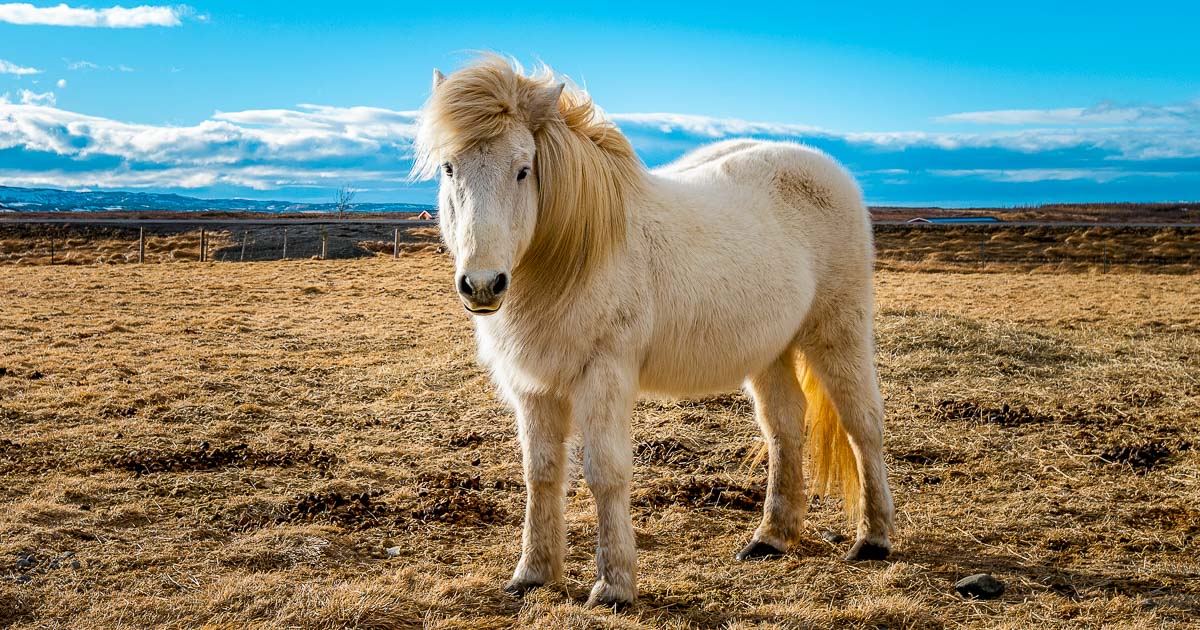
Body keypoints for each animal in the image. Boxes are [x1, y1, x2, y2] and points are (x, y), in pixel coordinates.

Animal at [412, 56, 892, 607]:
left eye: (523, 169)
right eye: (450, 168)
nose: (483, 284)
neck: (577, 253)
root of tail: (831, 171)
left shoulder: (604, 374)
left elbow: (605, 472)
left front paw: (614, 585)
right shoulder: (533, 387)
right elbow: (541, 473)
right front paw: (533, 573)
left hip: (838, 333)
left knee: (862, 425)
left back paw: (874, 539)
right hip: (770, 350)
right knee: (784, 427)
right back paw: (771, 538)